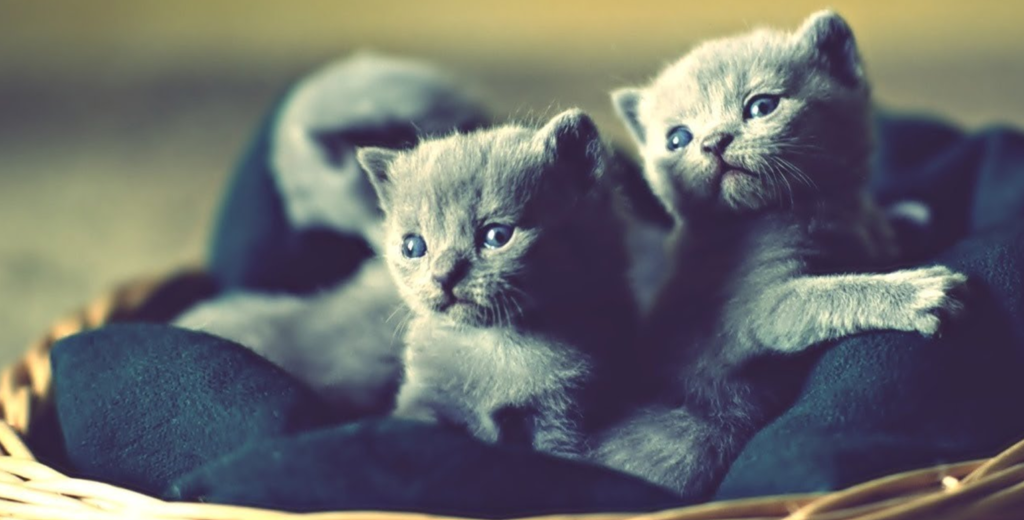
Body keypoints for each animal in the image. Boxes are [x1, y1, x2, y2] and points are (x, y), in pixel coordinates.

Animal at [356, 110, 634, 458]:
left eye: (497, 236)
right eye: (412, 247)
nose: (443, 275)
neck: (495, 344)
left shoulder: (564, 419)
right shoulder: (421, 396)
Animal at [593, 11, 966, 499]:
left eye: (761, 107)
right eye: (678, 138)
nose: (714, 141)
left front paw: (906, 218)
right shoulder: (758, 306)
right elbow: (825, 296)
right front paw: (915, 293)